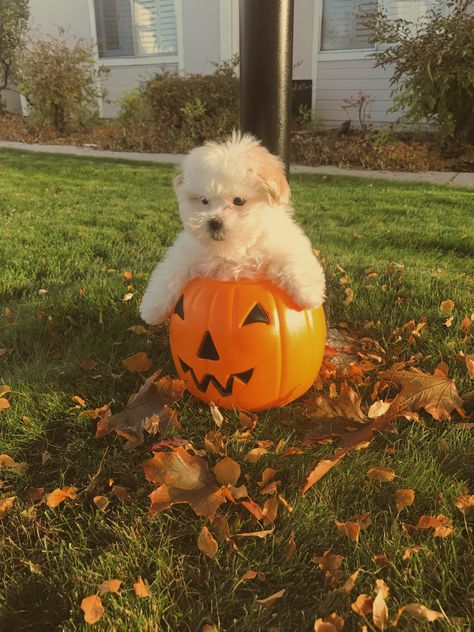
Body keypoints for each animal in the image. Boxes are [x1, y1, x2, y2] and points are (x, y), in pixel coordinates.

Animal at [140, 131, 326, 324]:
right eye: (204, 200)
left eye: (238, 201)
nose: (214, 222)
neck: (232, 250)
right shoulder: (188, 251)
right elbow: (170, 271)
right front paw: (151, 308)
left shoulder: (280, 241)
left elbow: (292, 257)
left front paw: (309, 294)